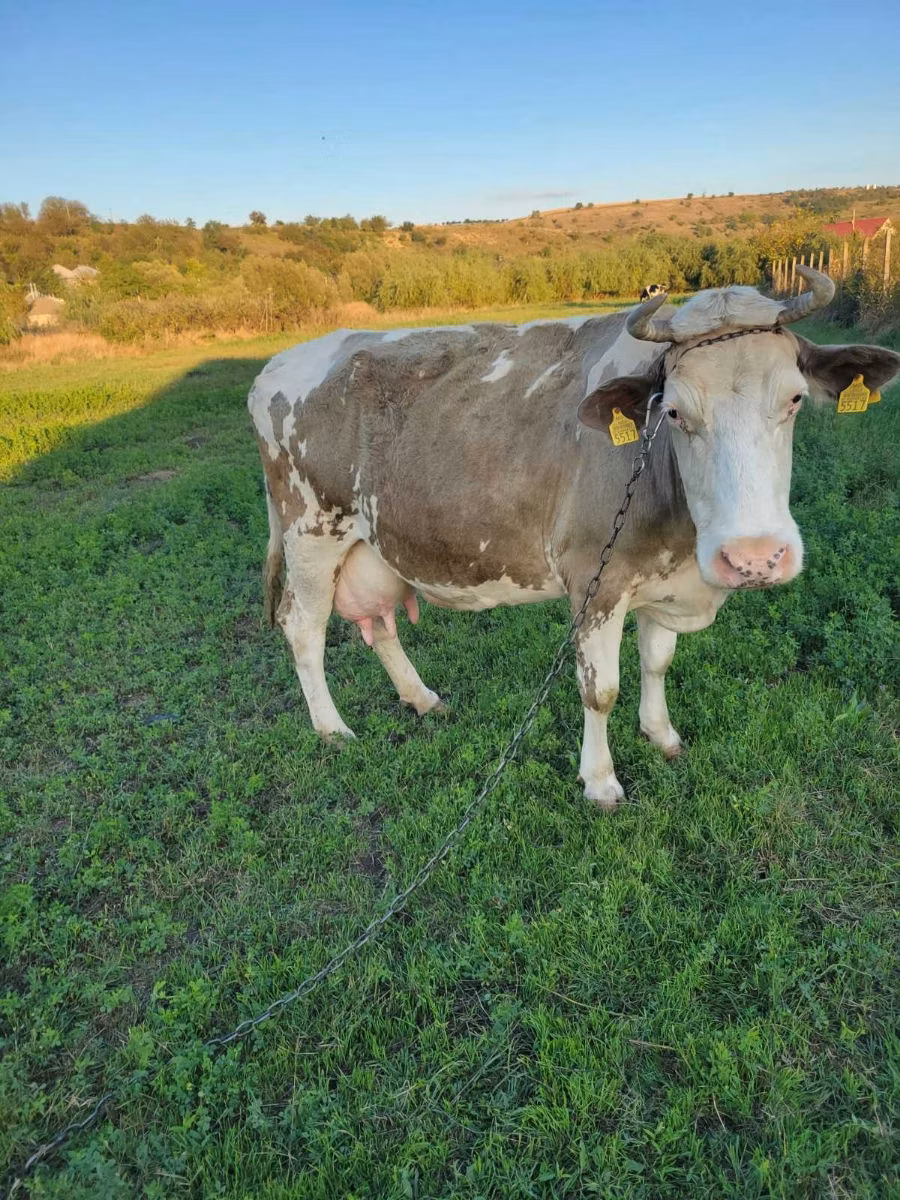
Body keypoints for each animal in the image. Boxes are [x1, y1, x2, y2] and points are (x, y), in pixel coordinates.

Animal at [249, 268, 899, 808]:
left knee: (380, 623)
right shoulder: (597, 578)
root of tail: (278, 363)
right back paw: (332, 729)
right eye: (675, 413)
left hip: (373, 546)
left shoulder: (665, 576)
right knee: (302, 628)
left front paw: (662, 734)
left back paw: (422, 697)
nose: (755, 557)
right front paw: (601, 780)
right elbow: (600, 689)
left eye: (794, 399)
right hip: (311, 532)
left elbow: (658, 661)